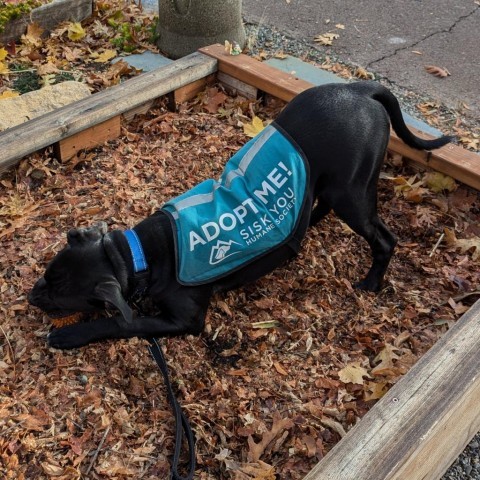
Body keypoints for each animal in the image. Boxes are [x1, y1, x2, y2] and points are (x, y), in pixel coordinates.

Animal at [29, 81, 450, 348]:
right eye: (46, 273)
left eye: (61, 295)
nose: (31, 296)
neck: (137, 255)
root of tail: (360, 89)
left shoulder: (185, 320)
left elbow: (119, 322)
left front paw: (69, 336)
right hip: (333, 184)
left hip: (352, 193)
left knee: (384, 239)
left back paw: (372, 282)